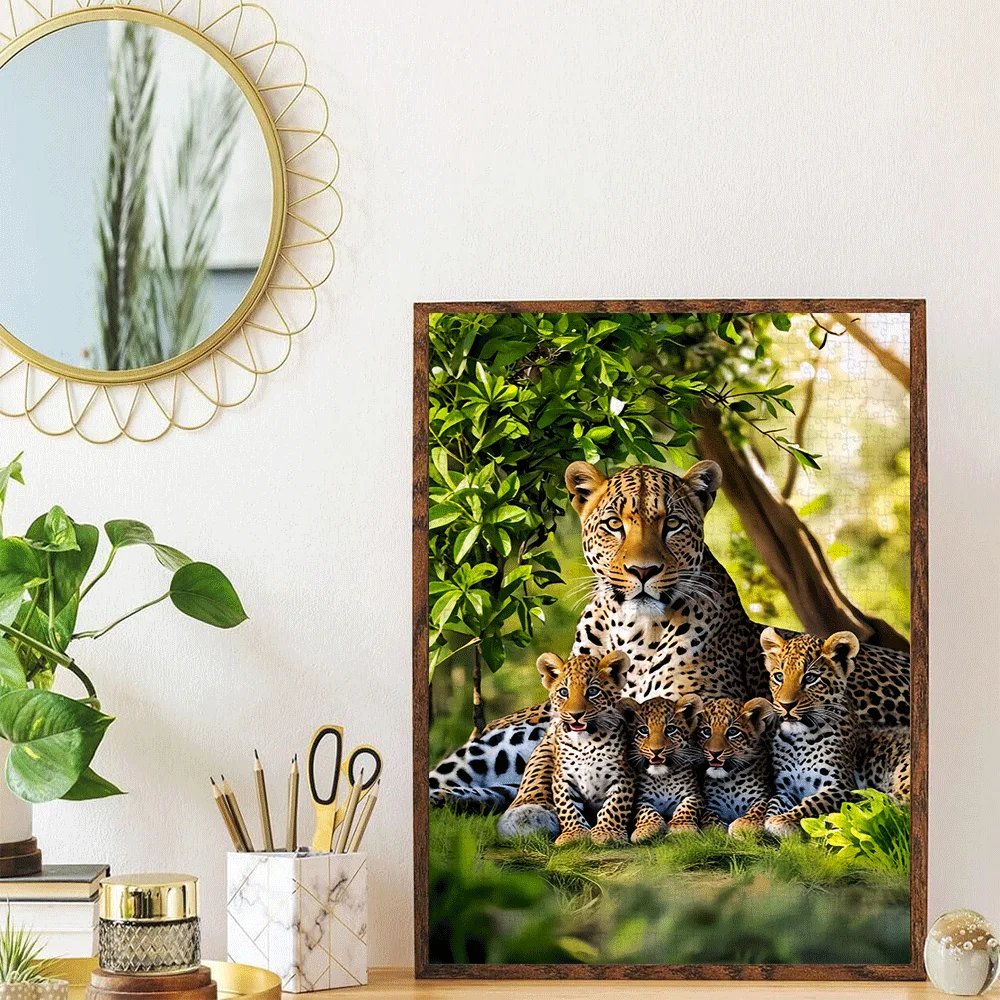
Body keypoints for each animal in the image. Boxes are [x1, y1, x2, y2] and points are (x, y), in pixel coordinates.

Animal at [536, 650, 635, 845]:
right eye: (564, 692)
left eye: (593, 691)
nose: (576, 715)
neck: (585, 743)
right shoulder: (562, 776)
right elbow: (567, 806)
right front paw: (573, 833)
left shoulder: (623, 775)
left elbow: (614, 806)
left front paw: (607, 832)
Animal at [618, 694, 704, 841]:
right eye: (644, 730)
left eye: (670, 729)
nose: (656, 750)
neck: (663, 778)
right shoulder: (639, 799)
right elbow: (645, 811)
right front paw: (647, 828)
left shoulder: (695, 794)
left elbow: (687, 807)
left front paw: (681, 826)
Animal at [695, 697, 774, 835]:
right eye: (706, 731)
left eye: (732, 732)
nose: (714, 753)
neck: (729, 780)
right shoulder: (712, 804)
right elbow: (707, 818)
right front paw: (716, 830)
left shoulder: (762, 797)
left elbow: (759, 809)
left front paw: (744, 825)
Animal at [758, 627, 912, 838]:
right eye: (779, 677)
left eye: (810, 678)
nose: (786, 705)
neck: (798, 739)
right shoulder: (785, 787)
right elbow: (773, 802)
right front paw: (755, 822)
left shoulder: (841, 786)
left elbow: (812, 802)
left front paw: (781, 821)